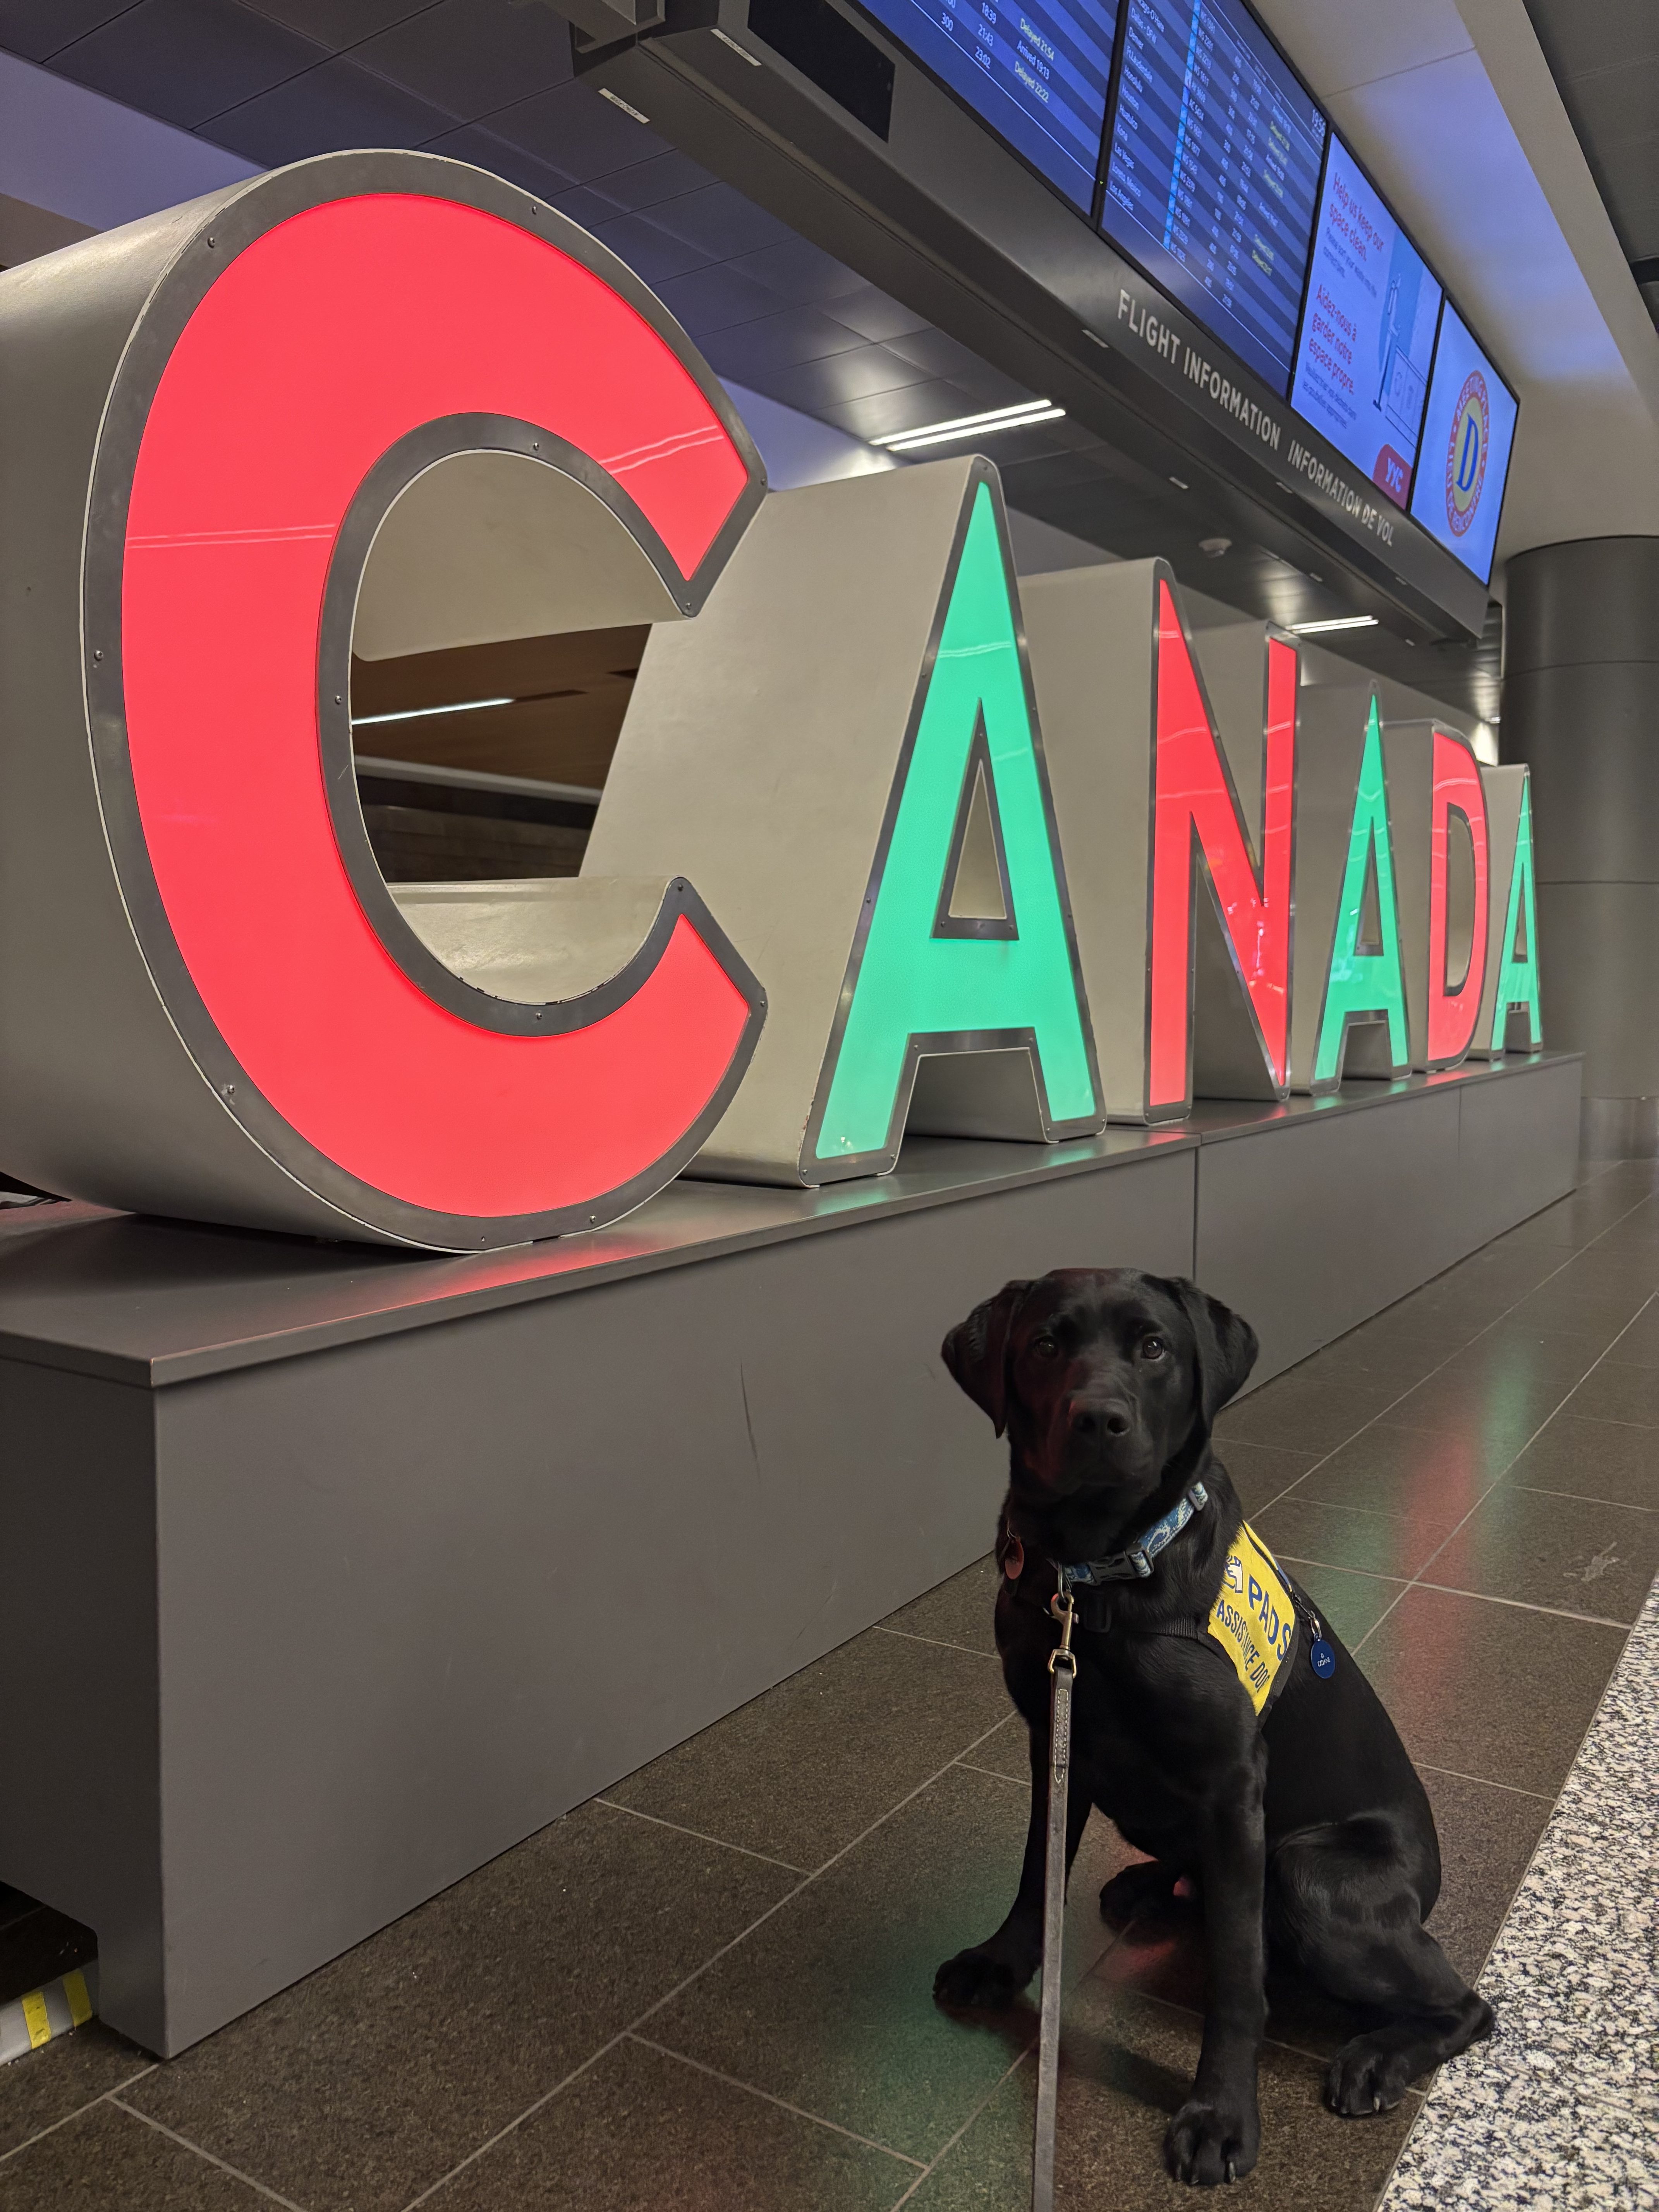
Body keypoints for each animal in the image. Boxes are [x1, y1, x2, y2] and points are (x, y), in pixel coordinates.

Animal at [932, 1269, 1491, 2188]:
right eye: (1045, 1344)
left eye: (1155, 1347)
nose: (1098, 1419)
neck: (1096, 1576)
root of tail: (1431, 1877)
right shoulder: (1054, 1739)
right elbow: (1034, 1877)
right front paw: (1003, 1963)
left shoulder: (1232, 1790)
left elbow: (1235, 1977)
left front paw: (1221, 2115)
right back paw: (1148, 1884)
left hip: (1307, 1871)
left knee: (1467, 2005)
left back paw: (1376, 2059)